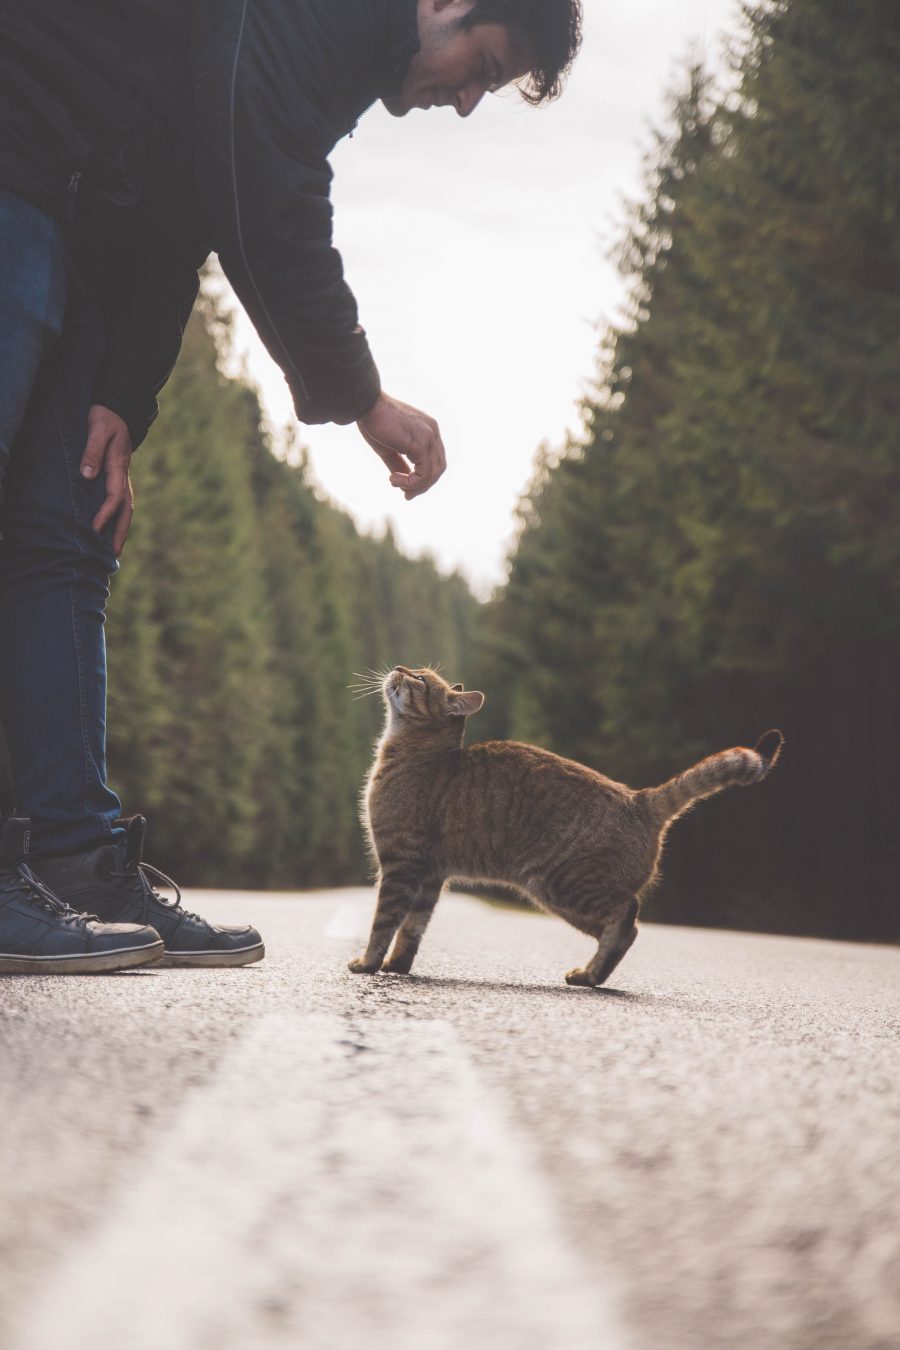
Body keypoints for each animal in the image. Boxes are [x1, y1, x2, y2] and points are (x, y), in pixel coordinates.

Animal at [350, 669, 782, 988]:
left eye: (419, 679)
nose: (399, 667)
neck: (415, 753)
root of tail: (640, 799)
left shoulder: (401, 863)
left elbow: (384, 922)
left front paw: (368, 963)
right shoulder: (431, 875)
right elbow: (413, 928)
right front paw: (396, 966)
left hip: (561, 883)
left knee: (627, 914)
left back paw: (591, 973)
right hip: (563, 898)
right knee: (628, 930)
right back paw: (590, 975)